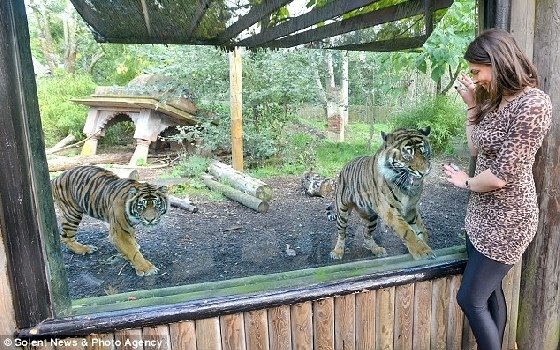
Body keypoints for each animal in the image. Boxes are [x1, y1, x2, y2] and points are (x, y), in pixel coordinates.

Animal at [330, 127, 436, 262]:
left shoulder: (410, 209)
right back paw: (337, 251)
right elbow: (407, 230)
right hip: (342, 211)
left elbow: (420, 228)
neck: (407, 186)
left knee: (366, 234)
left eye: (424, 152)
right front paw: (422, 251)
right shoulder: (389, 209)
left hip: (371, 217)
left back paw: (377, 249)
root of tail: (347, 164)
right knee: (341, 233)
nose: (424, 172)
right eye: (407, 155)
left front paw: (424, 242)